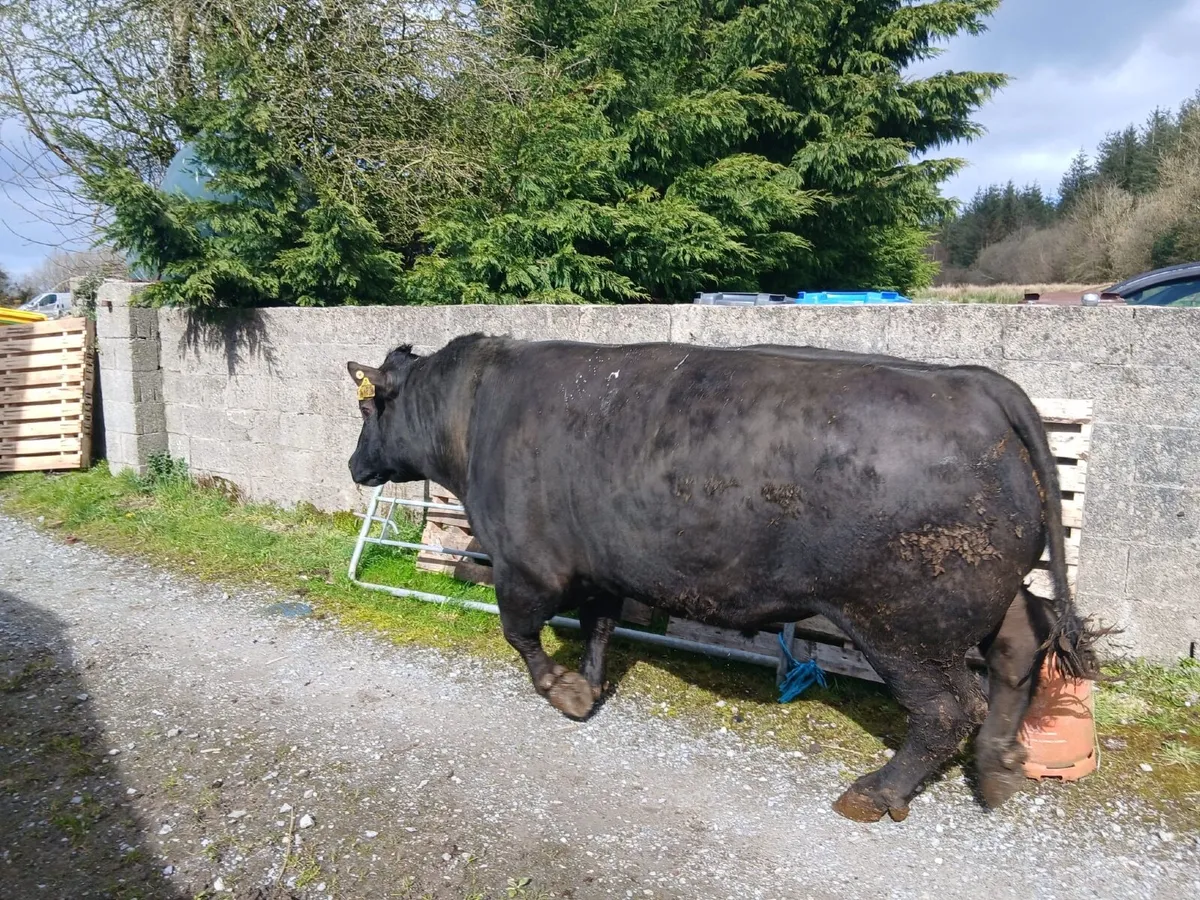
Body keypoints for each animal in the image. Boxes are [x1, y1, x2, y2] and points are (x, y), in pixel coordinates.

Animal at [346, 335, 1098, 823]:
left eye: (366, 408)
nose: (355, 465)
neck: (474, 412)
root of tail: (979, 383)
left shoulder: (528, 562)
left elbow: (521, 633)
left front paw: (564, 692)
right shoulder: (602, 561)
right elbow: (599, 626)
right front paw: (590, 683)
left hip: (903, 621)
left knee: (947, 708)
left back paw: (878, 791)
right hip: (984, 592)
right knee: (1020, 645)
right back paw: (998, 766)